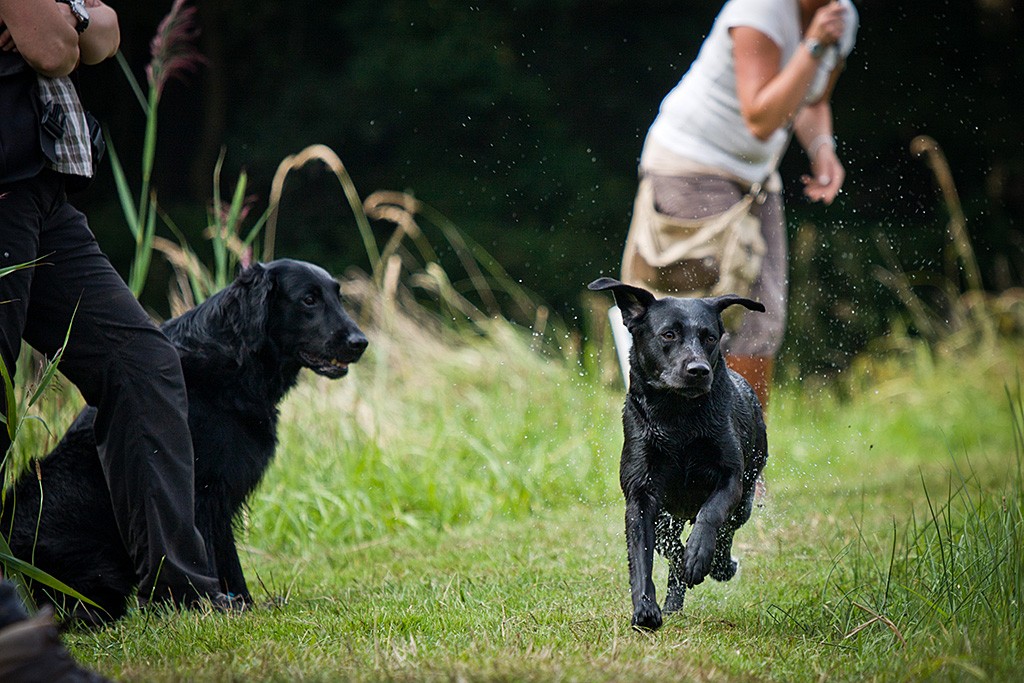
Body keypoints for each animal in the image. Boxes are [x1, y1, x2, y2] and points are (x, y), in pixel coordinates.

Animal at [0, 259, 368, 622]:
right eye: (309, 300)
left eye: (338, 297)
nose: (360, 342)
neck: (236, 364)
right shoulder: (203, 491)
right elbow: (213, 556)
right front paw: (216, 605)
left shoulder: (220, 498)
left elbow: (228, 560)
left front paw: (243, 604)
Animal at [589, 276, 765, 630]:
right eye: (668, 334)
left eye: (710, 337)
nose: (699, 370)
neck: (677, 418)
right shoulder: (640, 495)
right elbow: (640, 557)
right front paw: (645, 609)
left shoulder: (731, 478)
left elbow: (711, 513)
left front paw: (699, 555)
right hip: (664, 520)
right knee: (671, 550)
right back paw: (673, 600)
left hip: (745, 498)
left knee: (725, 530)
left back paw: (717, 565)